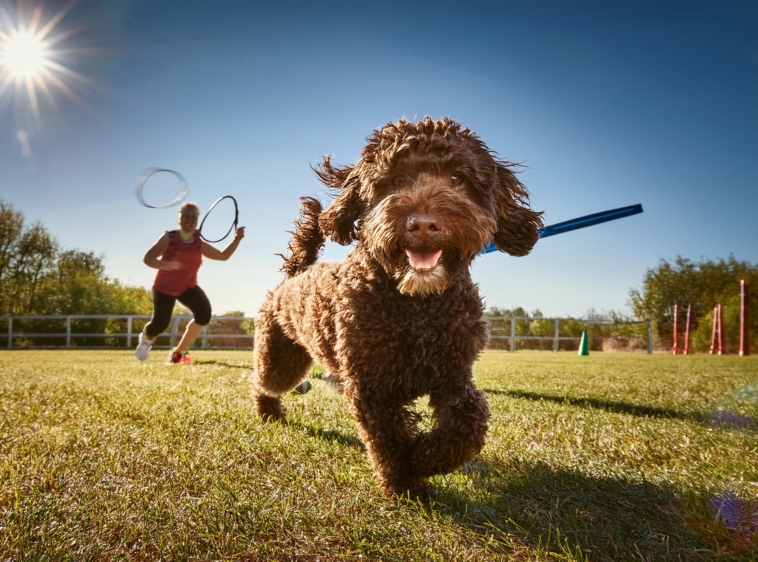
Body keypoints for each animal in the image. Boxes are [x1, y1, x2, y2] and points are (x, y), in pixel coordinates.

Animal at [252, 117, 544, 494]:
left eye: (457, 179)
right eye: (396, 181)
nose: (423, 224)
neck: (417, 309)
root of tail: (295, 274)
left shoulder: (453, 372)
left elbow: (469, 421)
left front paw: (425, 456)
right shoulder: (370, 385)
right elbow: (386, 439)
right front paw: (405, 482)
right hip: (280, 358)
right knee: (262, 381)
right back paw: (267, 411)